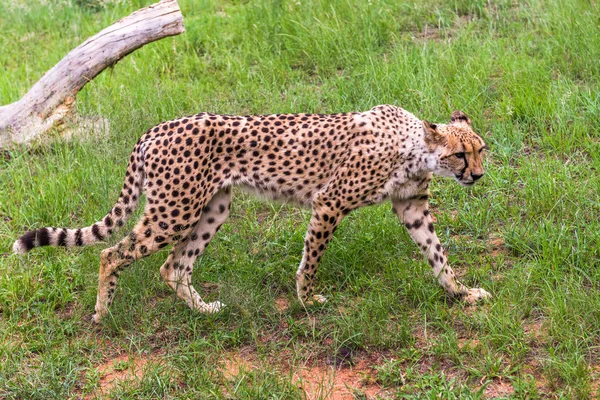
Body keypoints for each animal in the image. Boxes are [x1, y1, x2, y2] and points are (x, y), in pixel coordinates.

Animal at [12, 105, 492, 322]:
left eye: (481, 149)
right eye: (460, 154)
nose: (479, 175)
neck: (416, 150)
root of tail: (156, 128)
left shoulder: (412, 207)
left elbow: (438, 255)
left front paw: (462, 293)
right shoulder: (329, 203)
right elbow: (311, 261)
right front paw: (307, 300)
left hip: (213, 207)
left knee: (173, 267)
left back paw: (205, 310)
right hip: (174, 210)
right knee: (111, 253)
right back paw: (103, 314)